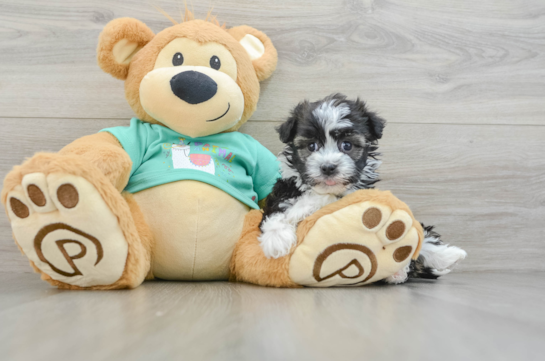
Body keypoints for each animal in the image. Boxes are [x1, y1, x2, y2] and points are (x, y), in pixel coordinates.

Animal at [258, 93, 464, 284]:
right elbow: (279, 211)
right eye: (311, 146)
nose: (328, 167)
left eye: (347, 145)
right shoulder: (283, 192)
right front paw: (276, 240)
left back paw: (445, 256)